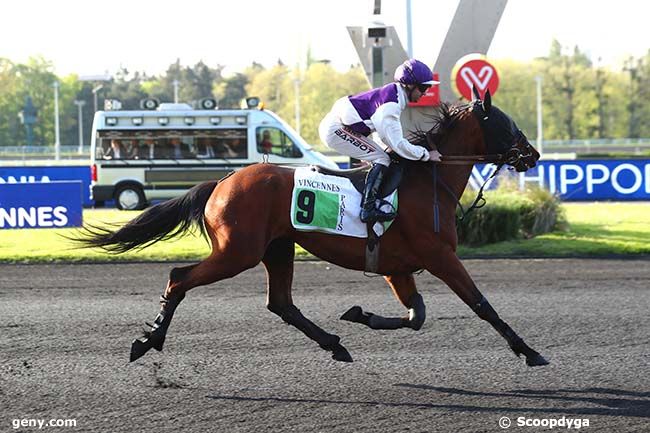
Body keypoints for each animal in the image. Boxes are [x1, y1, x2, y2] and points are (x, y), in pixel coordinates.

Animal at [78, 89, 548, 366]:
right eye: (505, 122)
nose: (533, 153)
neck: (427, 184)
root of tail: (223, 180)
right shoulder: (439, 256)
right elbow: (481, 305)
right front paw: (529, 351)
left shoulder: (398, 267)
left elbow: (416, 316)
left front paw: (360, 314)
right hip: (237, 252)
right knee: (179, 278)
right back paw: (147, 342)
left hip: (277, 248)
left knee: (281, 303)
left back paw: (335, 344)